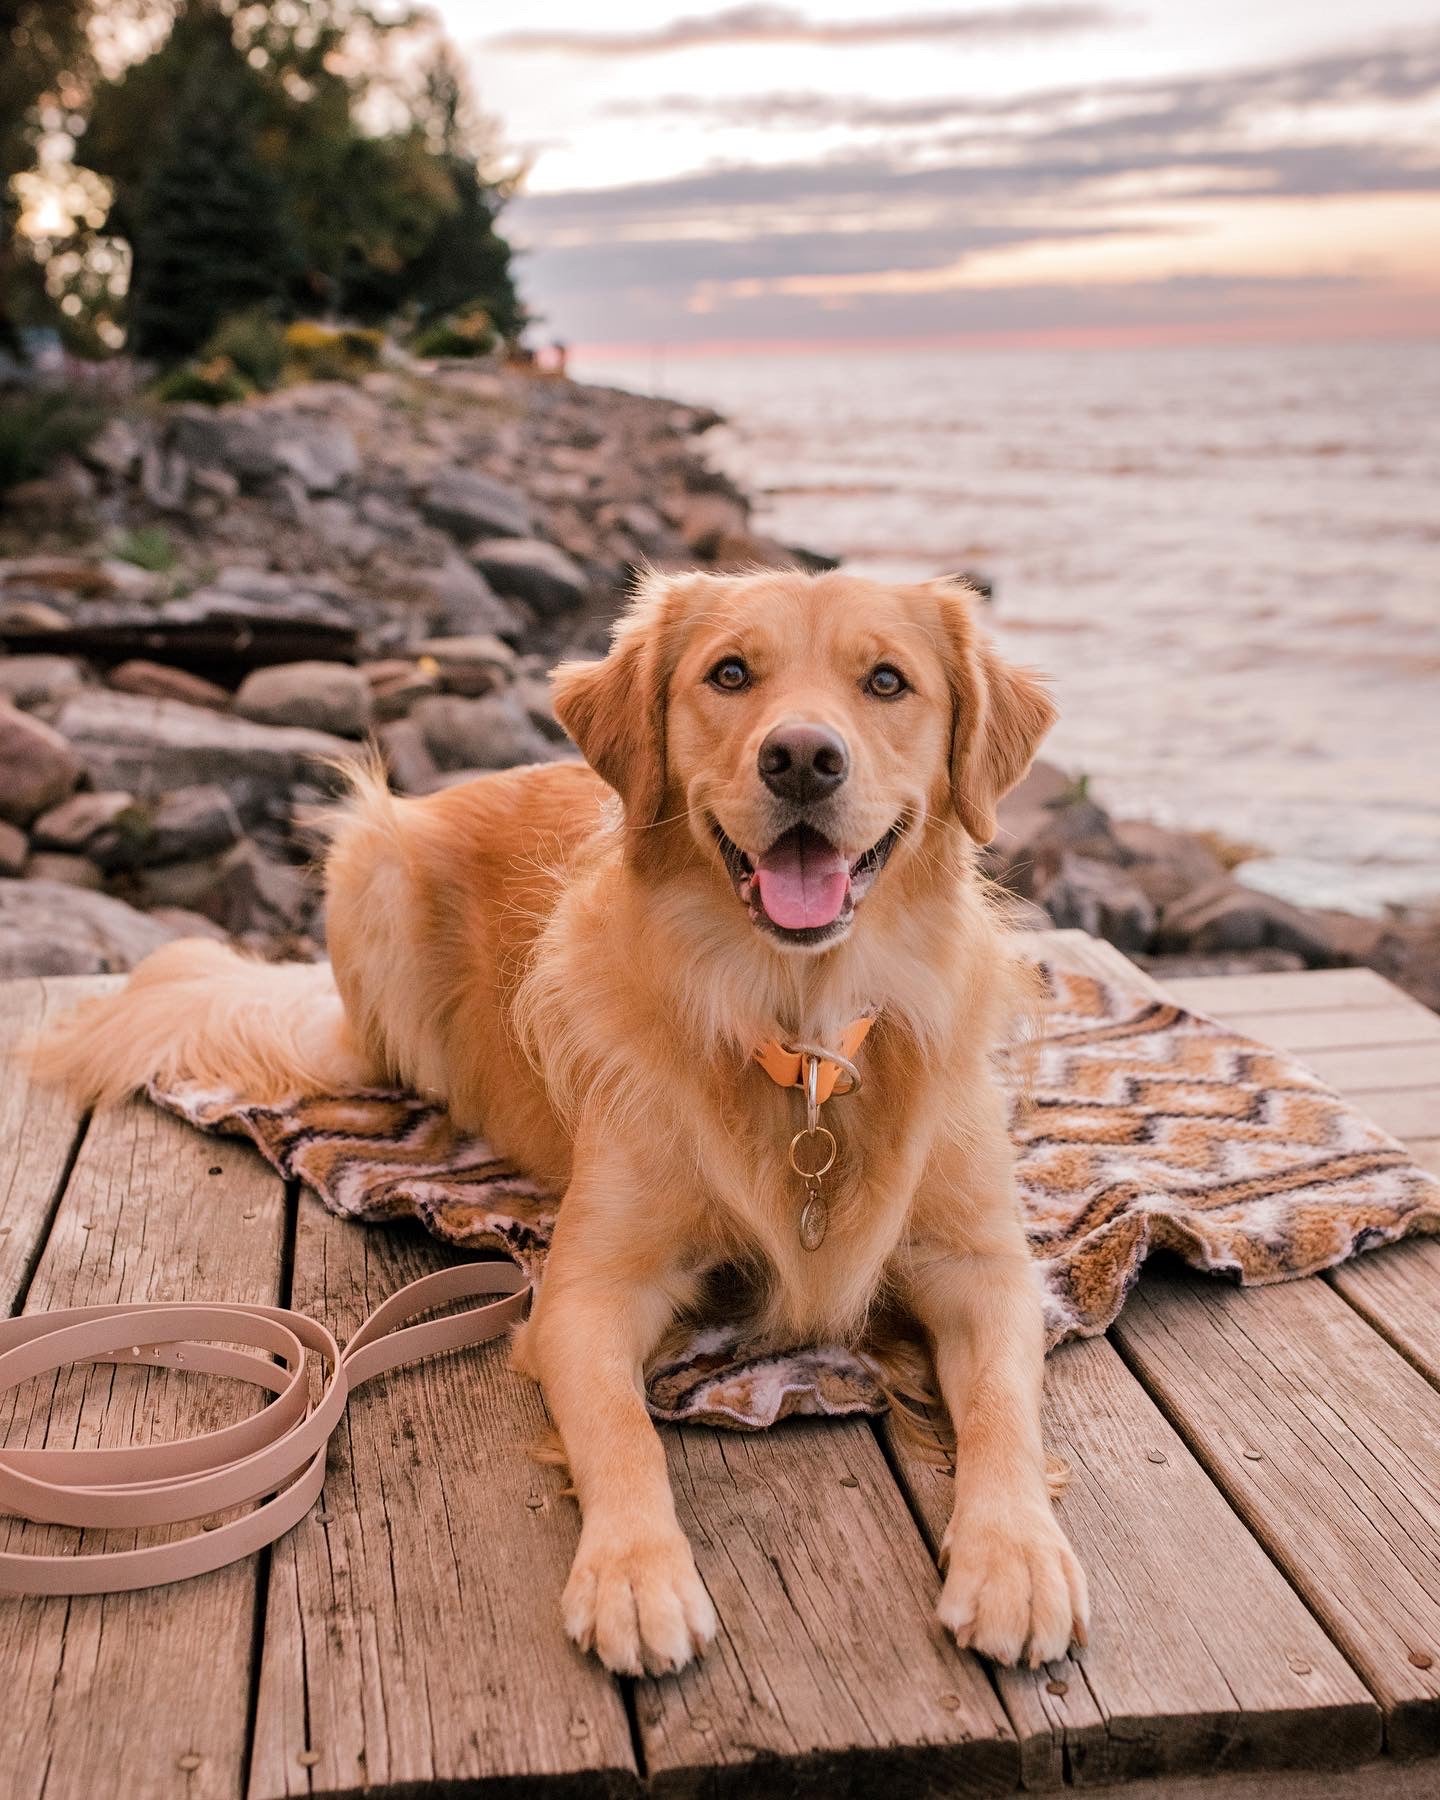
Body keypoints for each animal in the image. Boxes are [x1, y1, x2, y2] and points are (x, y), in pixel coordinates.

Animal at [33, 572, 1087, 1670]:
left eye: (887, 681)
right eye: (730, 674)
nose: (801, 757)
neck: (798, 1033)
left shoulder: (986, 1268)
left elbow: (1006, 1409)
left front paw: (1016, 1556)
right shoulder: (585, 1292)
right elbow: (623, 1430)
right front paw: (634, 1572)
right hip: (370, 870)